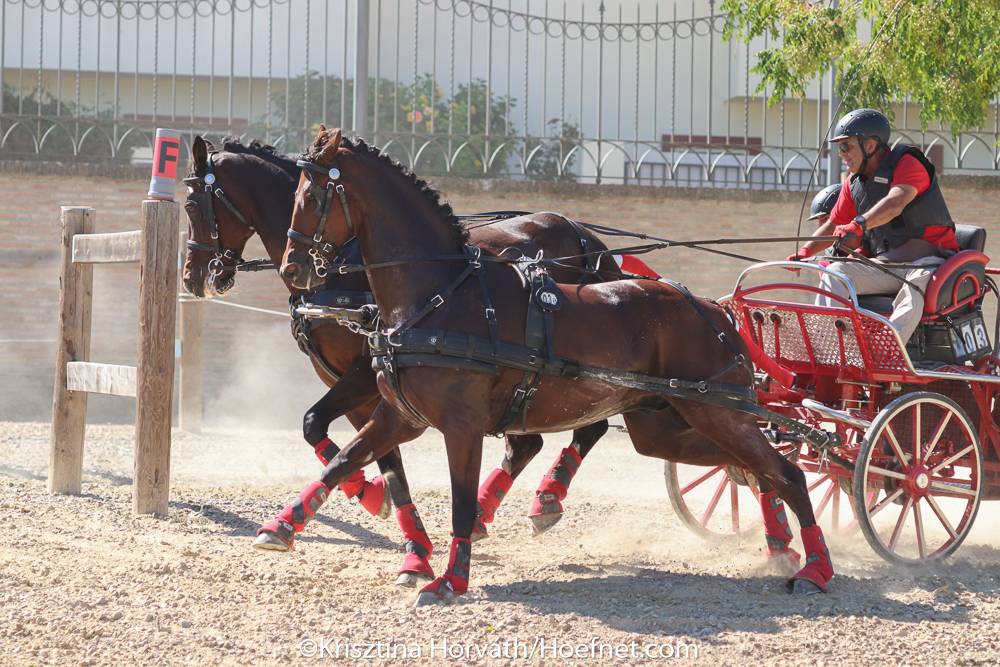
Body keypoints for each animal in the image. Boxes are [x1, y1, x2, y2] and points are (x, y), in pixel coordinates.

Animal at [180, 136, 624, 584]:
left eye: (193, 206)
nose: (192, 277)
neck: (346, 269)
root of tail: (590, 242)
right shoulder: (359, 385)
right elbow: (372, 455)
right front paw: (402, 531)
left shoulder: (363, 376)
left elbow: (321, 427)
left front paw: (372, 501)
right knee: (530, 442)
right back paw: (487, 512)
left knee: (591, 427)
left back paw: (546, 497)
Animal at [278, 129, 832, 604]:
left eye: (313, 196)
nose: (292, 268)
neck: (439, 296)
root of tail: (717, 312)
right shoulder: (400, 416)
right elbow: (342, 460)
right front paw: (282, 525)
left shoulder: (461, 426)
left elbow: (459, 500)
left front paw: (450, 580)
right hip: (668, 427)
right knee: (752, 470)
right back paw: (780, 546)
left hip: (719, 413)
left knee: (786, 472)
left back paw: (816, 566)